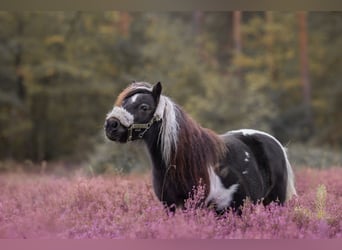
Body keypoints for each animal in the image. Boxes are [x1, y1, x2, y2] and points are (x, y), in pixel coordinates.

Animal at [104, 82, 296, 213]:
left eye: (144, 107)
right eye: (123, 103)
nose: (111, 125)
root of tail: (275, 143)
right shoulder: (170, 207)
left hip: (273, 202)